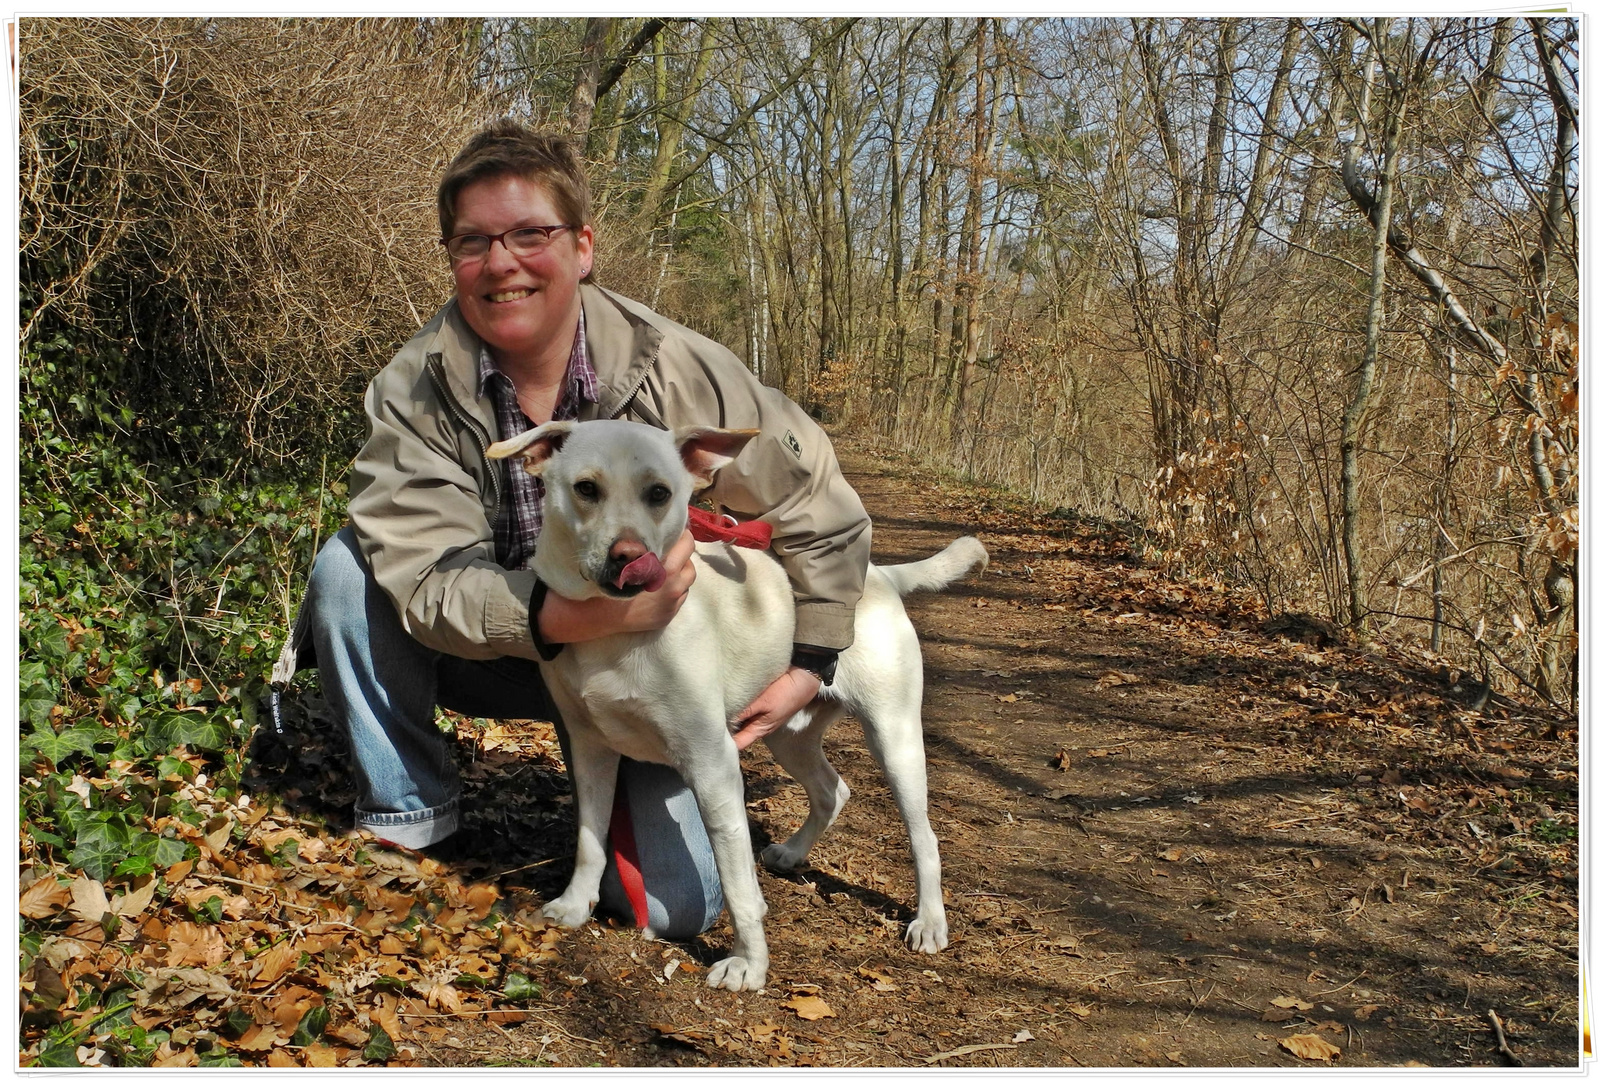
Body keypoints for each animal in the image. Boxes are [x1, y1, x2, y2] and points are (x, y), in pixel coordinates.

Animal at [486, 419, 985, 992]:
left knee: (924, 837)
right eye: (586, 488)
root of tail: (878, 577)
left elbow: (736, 885)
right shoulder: (589, 749)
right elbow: (591, 839)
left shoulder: (712, 764)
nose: (628, 557)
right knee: (832, 790)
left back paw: (929, 920)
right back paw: (792, 852)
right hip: (788, 734)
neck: (615, 631)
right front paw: (573, 904)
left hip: (895, 739)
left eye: (659, 493)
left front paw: (749, 962)